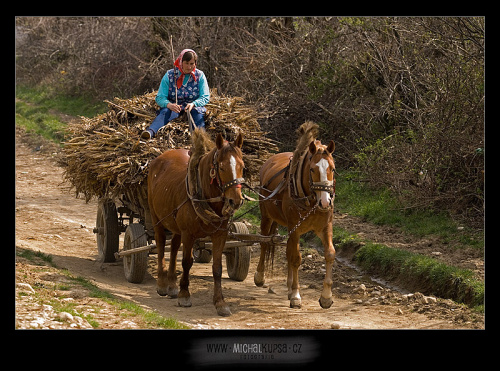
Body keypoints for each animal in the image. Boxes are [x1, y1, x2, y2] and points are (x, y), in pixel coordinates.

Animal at [146, 129, 244, 316]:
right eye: (222, 167)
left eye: (242, 166)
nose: (235, 201)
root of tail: (159, 158)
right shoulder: (189, 234)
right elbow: (187, 262)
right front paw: (184, 295)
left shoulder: (220, 234)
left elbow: (217, 267)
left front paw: (220, 302)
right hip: (157, 218)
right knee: (161, 244)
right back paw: (162, 284)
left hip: (175, 225)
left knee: (174, 247)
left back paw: (171, 285)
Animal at [254, 121, 336, 308]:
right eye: (312, 170)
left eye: (333, 169)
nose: (325, 202)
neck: (311, 201)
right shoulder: (296, 230)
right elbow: (296, 259)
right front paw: (296, 296)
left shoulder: (325, 227)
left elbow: (330, 253)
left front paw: (326, 297)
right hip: (266, 216)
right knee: (264, 243)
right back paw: (260, 276)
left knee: (287, 252)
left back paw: (289, 285)